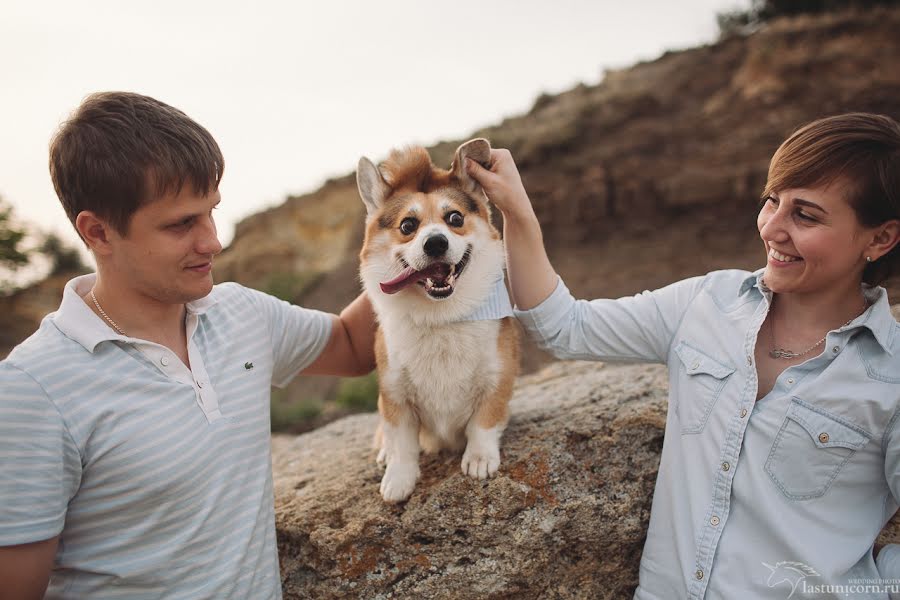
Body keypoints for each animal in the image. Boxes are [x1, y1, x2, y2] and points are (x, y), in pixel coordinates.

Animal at [354, 139, 516, 502]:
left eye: (454, 217)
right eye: (407, 226)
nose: (436, 242)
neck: (441, 316)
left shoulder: (498, 379)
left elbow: (484, 422)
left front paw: (479, 459)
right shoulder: (394, 395)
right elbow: (401, 442)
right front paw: (398, 479)